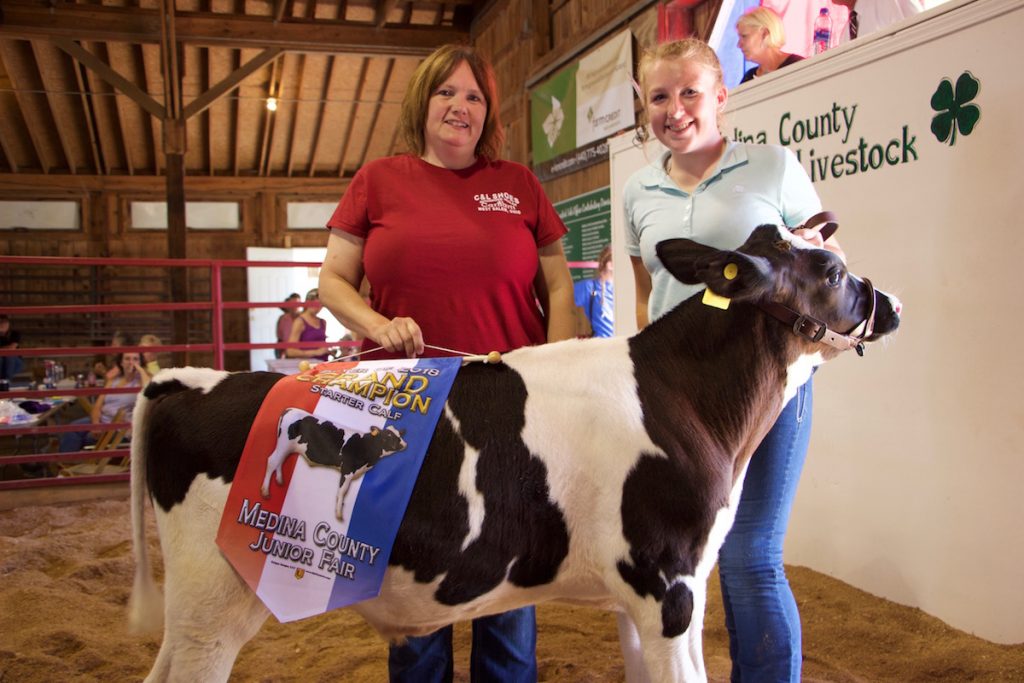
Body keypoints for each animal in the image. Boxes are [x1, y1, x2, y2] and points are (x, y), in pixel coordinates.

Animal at [261, 408, 408, 519]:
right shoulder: (347, 470)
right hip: (284, 443)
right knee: (272, 461)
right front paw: (338, 514)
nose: (404, 444)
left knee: (280, 461)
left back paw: (280, 480)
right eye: (388, 435)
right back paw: (265, 491)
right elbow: (342, 491)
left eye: (399, 435)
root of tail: (290, 409)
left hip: (287, 447)